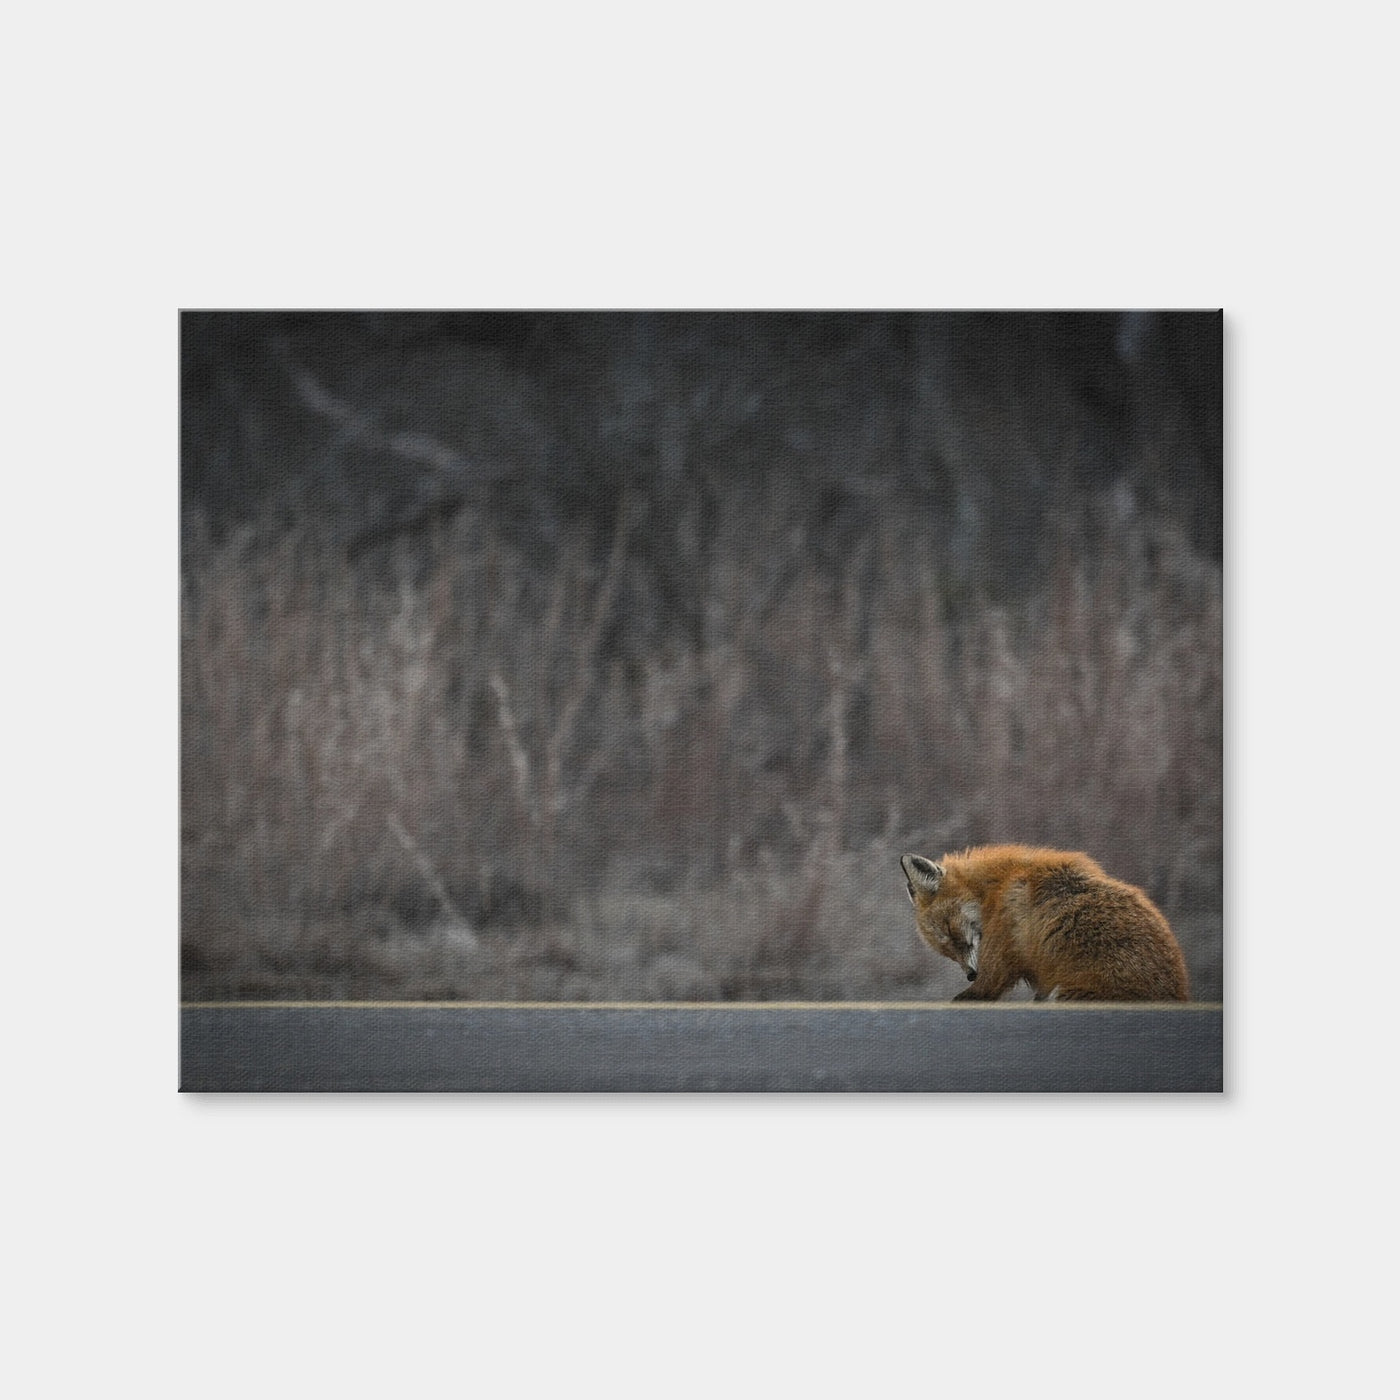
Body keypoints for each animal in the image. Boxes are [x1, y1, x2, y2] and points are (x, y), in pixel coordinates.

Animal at [899, 845, 1189, 1002]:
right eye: (946, 951)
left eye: (951, 931)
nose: (970, 973)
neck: (996, 886)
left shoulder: (997, 962)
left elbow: (982, 987)